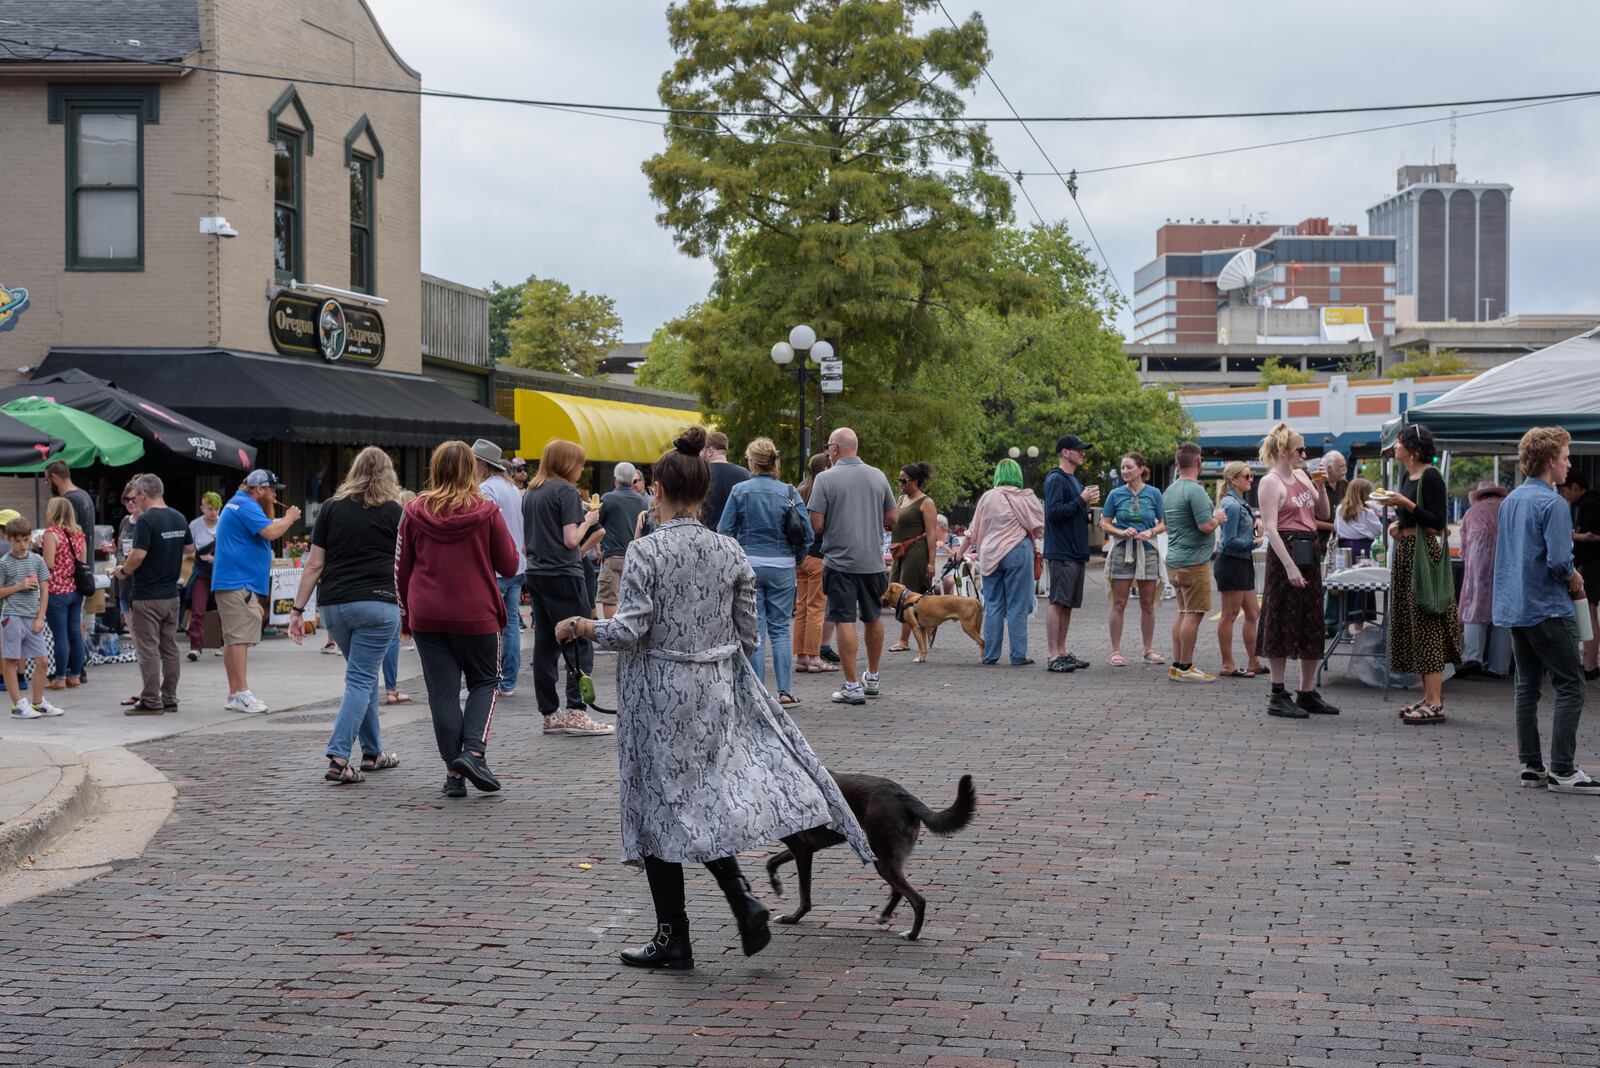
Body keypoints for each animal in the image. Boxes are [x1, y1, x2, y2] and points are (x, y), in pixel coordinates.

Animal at [764, 770, 972, 940]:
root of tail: (903, 796)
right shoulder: (805, 849)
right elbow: (771, 861)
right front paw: (777, 886)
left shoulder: (802, 850)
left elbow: (804, 895)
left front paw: (791, 918)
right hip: (888, 858)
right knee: (899, 889)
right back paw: (885, 916)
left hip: (883, 859)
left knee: (918, 900)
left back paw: (911, 935)